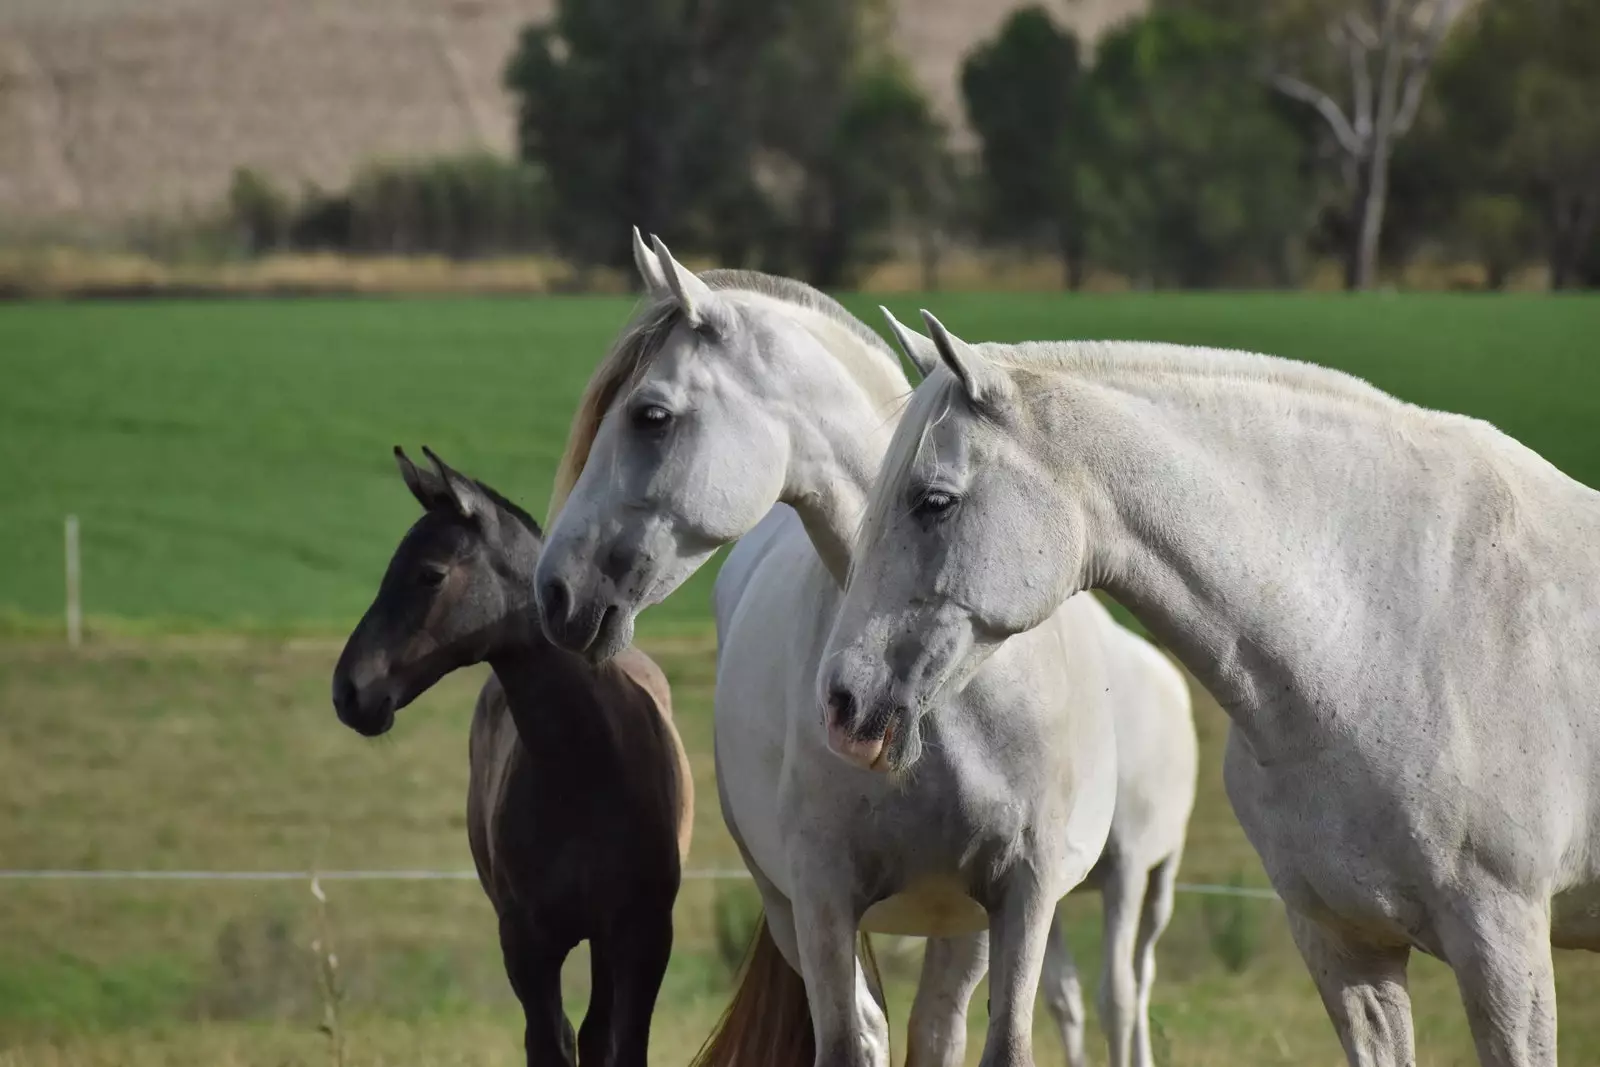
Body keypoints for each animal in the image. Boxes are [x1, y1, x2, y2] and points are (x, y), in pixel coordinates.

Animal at [334, 447, 691, 1067]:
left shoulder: (643, 935)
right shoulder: (526, 945)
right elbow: (549, 1043)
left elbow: (620, 1045)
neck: (587, 769)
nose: (348, 691)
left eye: (430, 574)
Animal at [537, 239, 1190, 1067]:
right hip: (792, 906)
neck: (947, 700)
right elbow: (849, 1042)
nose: (555, 590)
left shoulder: (1019, 893)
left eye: (650, 415)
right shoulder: (821, 896)